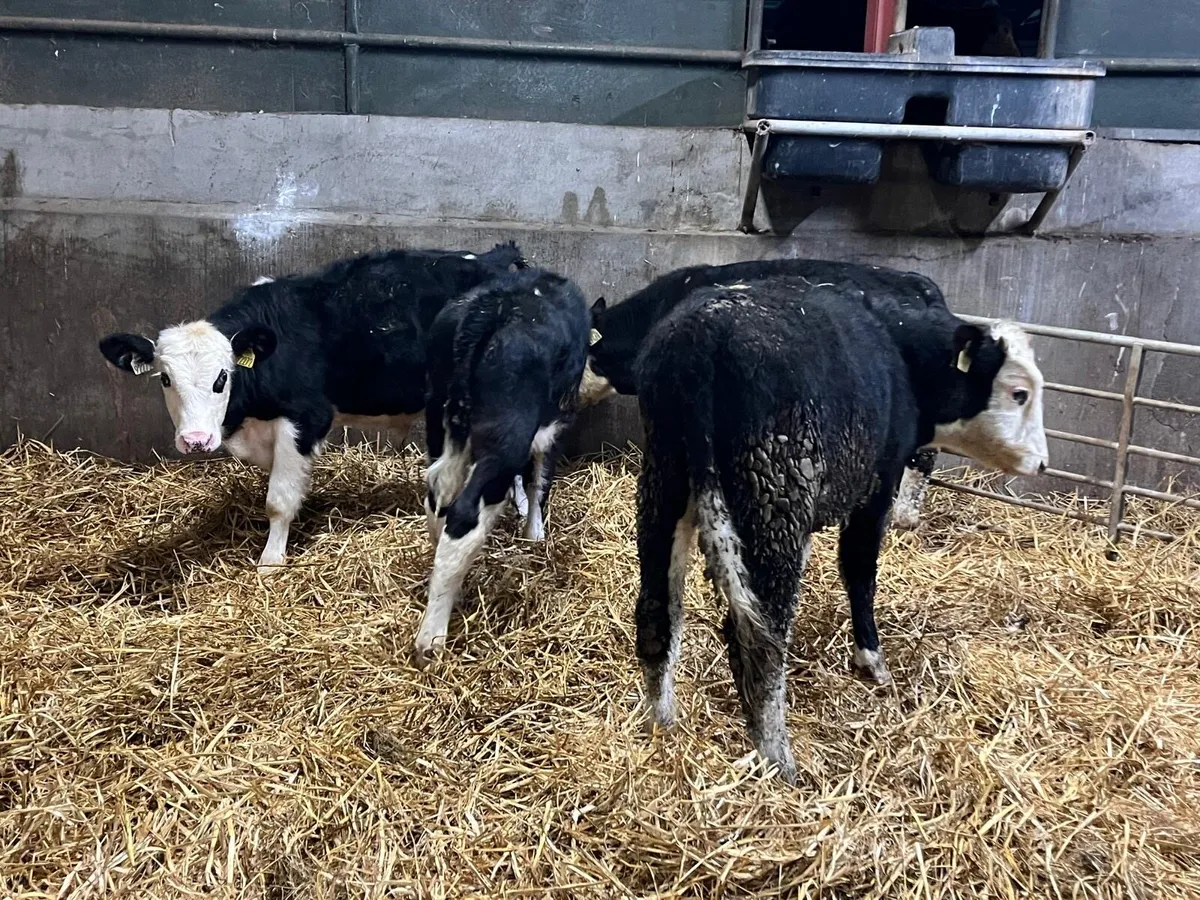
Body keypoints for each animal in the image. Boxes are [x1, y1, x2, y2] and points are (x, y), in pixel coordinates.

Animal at [98, 243, 525, 571]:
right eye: (166, 380)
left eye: (222, 377)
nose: (196, 439)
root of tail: (497, 258)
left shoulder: (306, 417)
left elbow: (278, 499)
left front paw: (271, 560)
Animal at [416, 268, 591, 668]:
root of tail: (487, 310)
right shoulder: (554, 423)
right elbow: (540, 480)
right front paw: (534, 535)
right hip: (506, 436)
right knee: (463, 514)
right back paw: (430, 639)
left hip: (437, 414)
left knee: (438, 496)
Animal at [628, 275, 1047, 781]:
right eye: (1019, 393)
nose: (1042, 463)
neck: (902, 350)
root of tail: (702, 337)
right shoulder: (879, 479)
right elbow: (858, 568)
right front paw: (871, 660)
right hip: (773, 489)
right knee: (763, 640)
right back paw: (778, 759)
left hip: (666, 482)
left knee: (658, 614)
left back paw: (661, 725)